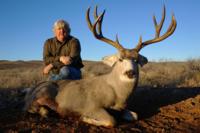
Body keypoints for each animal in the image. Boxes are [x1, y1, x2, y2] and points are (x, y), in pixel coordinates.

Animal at [23, 5, 177, 127]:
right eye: (120, 59)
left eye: (137, 60)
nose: (130, 72)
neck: (117, 94)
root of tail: (31, 91)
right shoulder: (92, 106)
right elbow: (111, 121)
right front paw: (84, 118)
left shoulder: (122, 108)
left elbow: (135, 115)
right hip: (44, 93)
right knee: (32, 108)